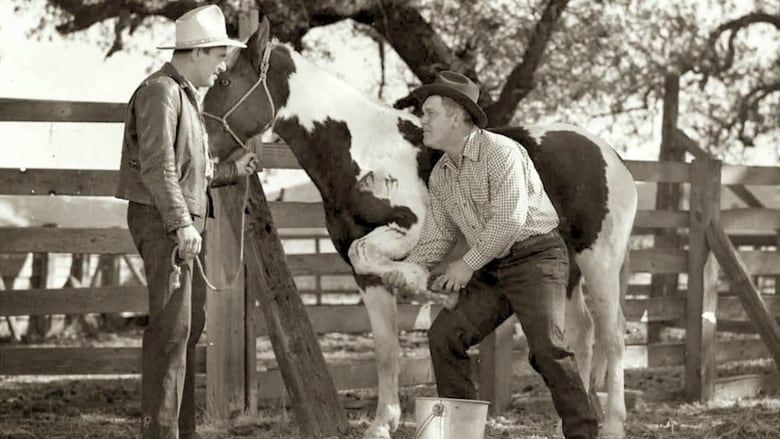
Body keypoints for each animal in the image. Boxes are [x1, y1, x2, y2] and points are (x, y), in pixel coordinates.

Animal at [204, 18, 636, 439]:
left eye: (224, 82)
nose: (205, 152)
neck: (367, 152)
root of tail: (611, 155)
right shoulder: (362, 275)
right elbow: (385, 348)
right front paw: (382, 423)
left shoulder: (410, 229)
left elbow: (377, 257)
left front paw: (428, 287)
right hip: (571, 269)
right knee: (581, 332)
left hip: (599, 259)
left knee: (612, 336)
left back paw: (614, 423)